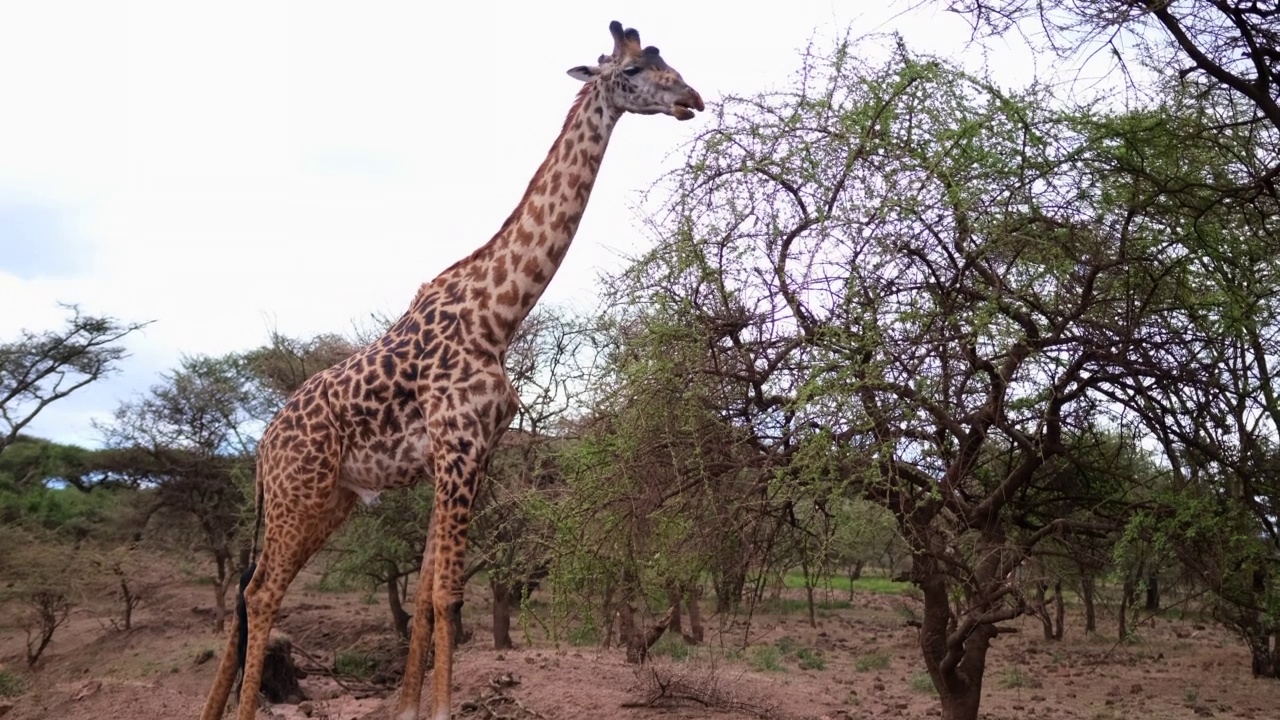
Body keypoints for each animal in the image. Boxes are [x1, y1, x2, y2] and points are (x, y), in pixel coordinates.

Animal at [194, 19, 706, 717]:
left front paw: (407, 706)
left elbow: (429, 591)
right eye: (630, 71)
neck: (499, 315)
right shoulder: (458, 445)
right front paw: (434, 707)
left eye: (665, 59)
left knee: (252, 592)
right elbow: (446, 594)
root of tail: (263, 445)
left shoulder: (471, 451)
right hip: (300, 492)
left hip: (330, 499)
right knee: (262, 591)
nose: (691, 98)